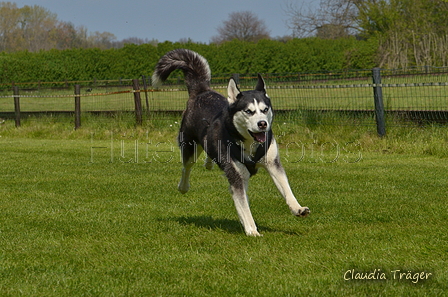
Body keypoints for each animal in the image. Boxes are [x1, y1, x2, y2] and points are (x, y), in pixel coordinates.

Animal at [152, 48, 310, 235]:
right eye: (248, 111)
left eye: (265, 110)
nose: (262, 124)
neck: (248, 143)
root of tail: (201, 91)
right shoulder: (235, 174)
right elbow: (244, 205)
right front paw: (252, 230)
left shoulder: (272, 163)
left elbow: (286, 188)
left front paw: (297, 208)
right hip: (190, 147)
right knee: (187, 167)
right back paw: (183, 186)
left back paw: (209, 164)